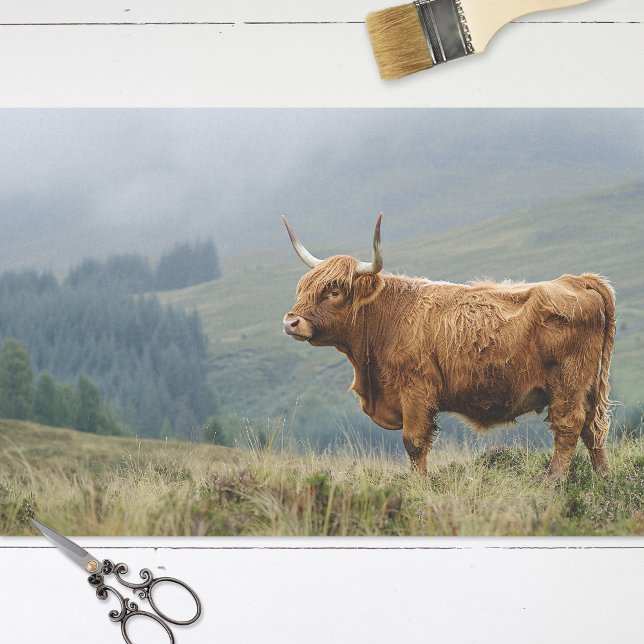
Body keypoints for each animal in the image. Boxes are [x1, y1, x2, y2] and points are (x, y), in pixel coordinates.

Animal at [282, 214, 615, 478]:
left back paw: (552, 481)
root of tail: (576, 280)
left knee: (569, 427)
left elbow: (414, 443)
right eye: (303, 287)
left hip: (568, 383)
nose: (291, 322)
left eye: (334, 292)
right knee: (592, 430)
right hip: (587, 386)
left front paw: (419, 486)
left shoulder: (415, 392)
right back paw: (603, 479)